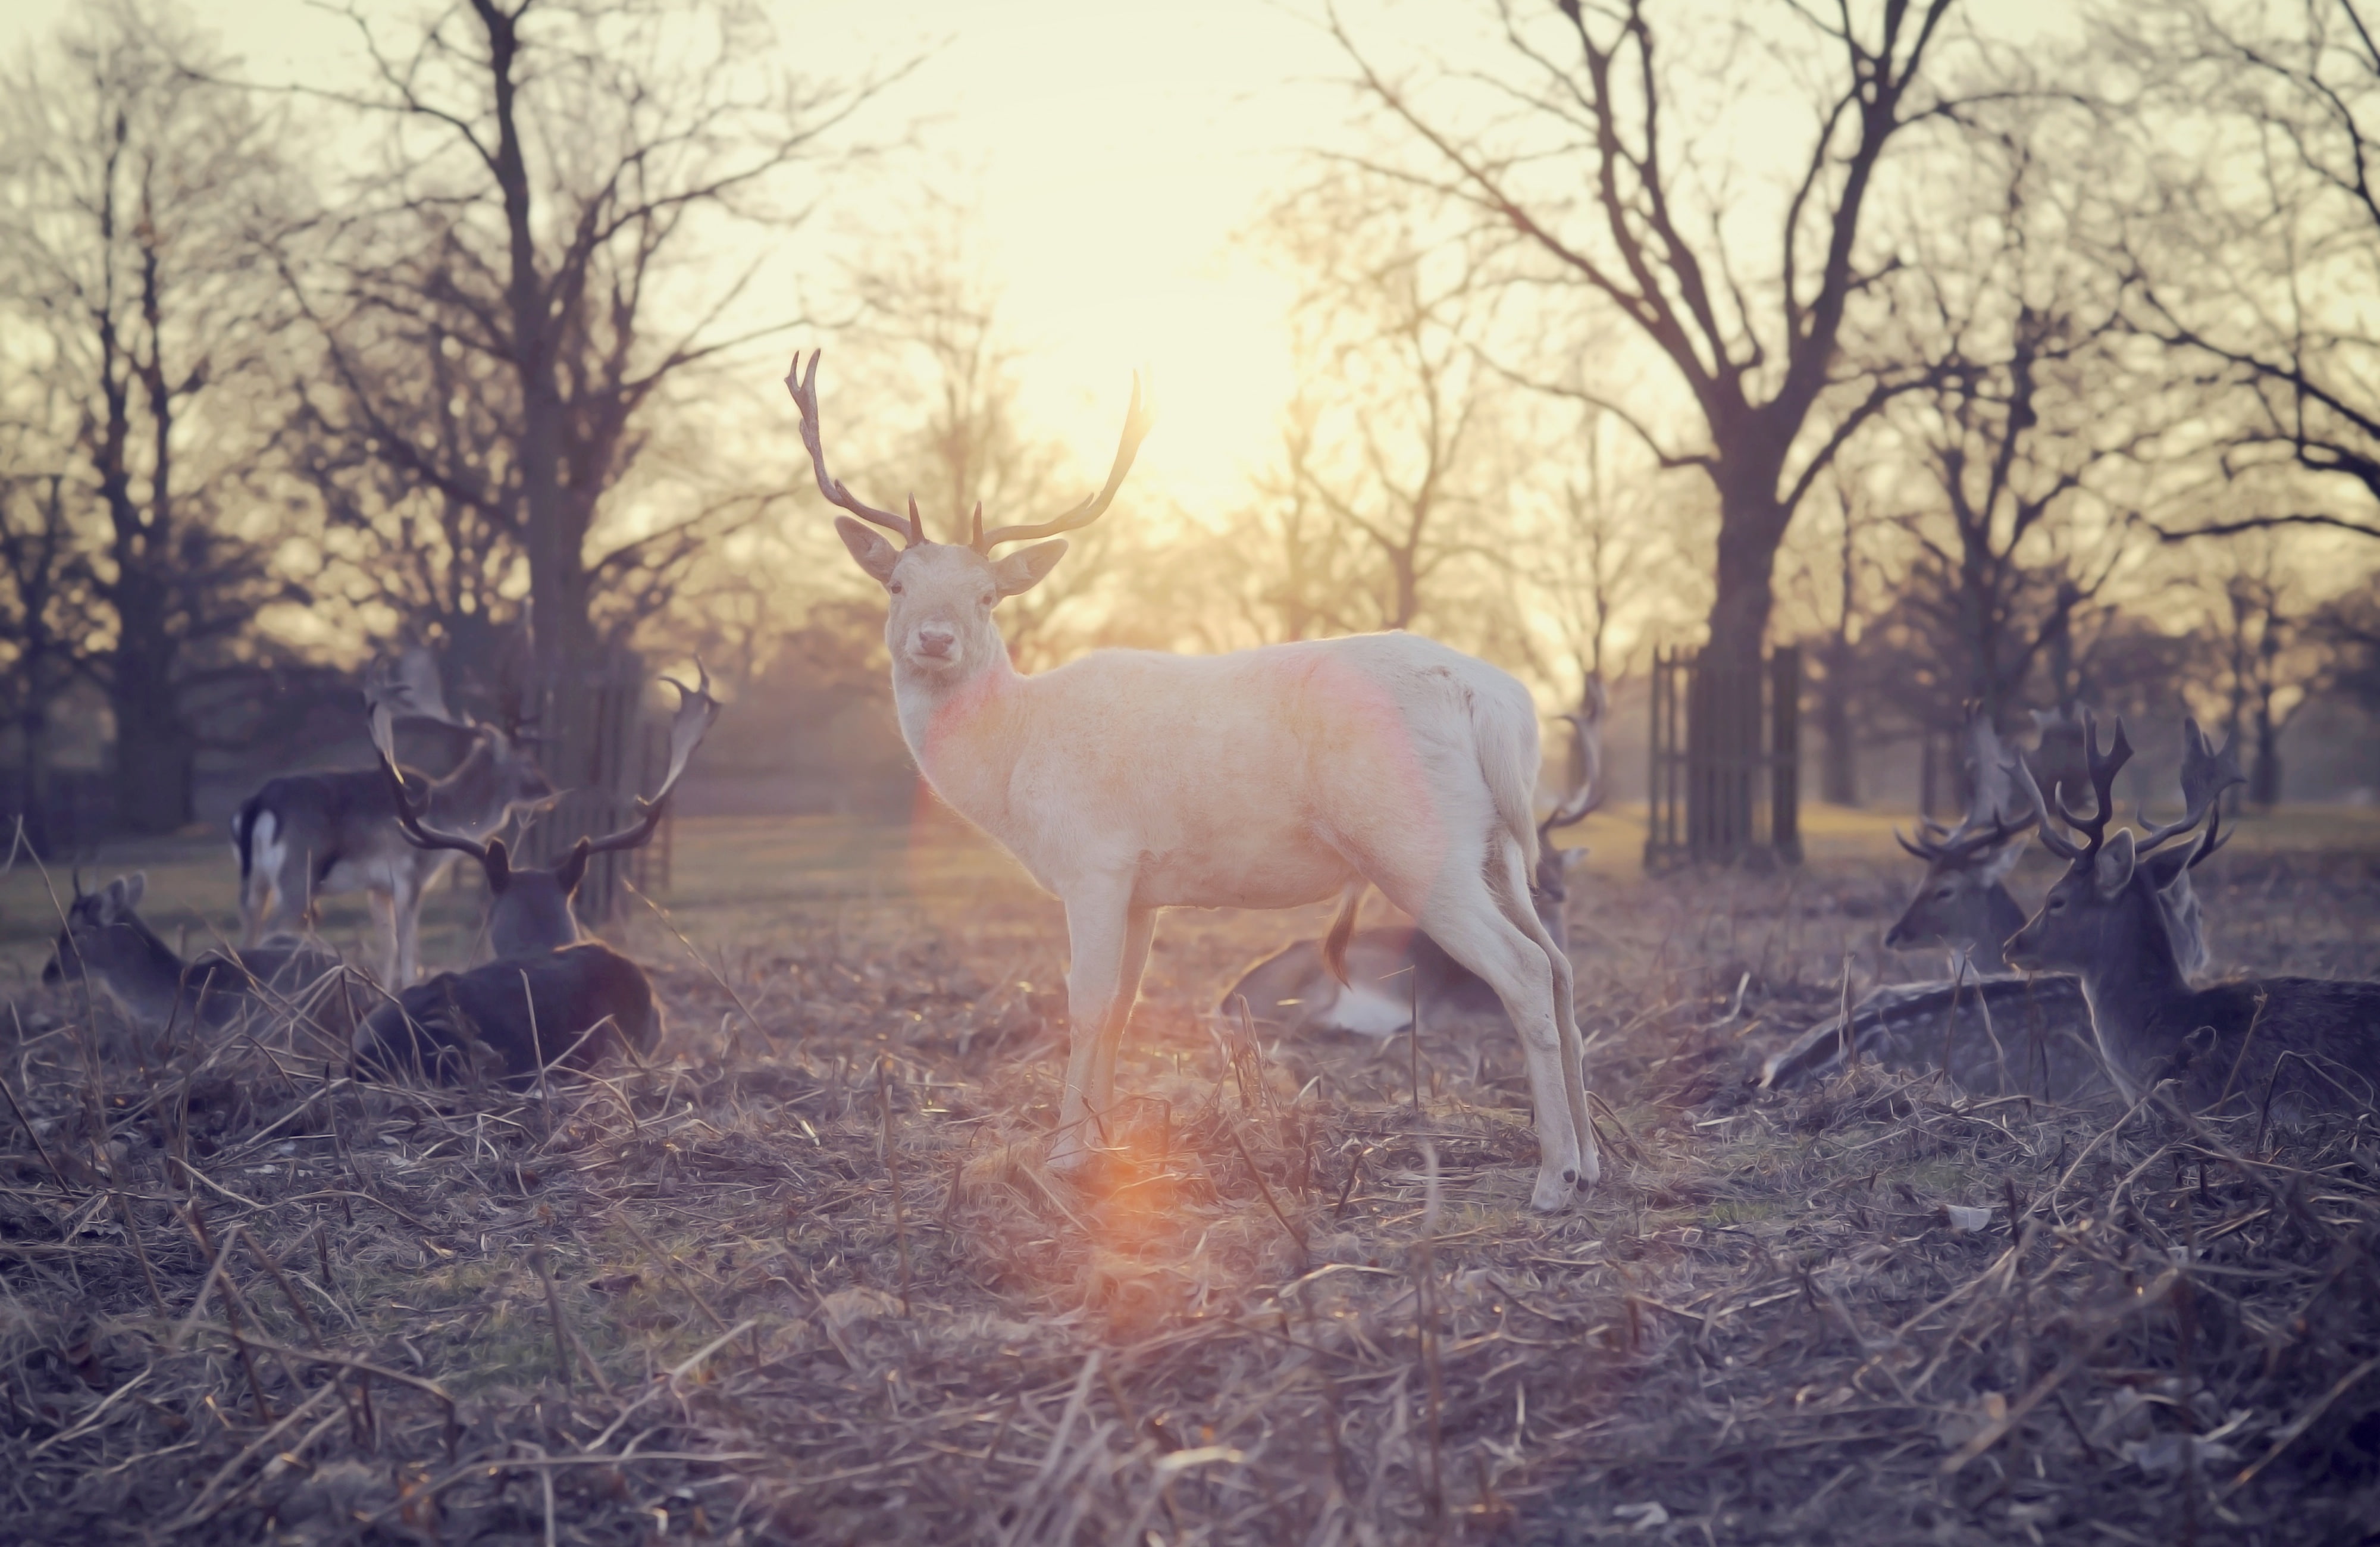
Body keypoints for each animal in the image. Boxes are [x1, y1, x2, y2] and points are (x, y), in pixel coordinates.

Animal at [232, 650, 554, 988]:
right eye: (527, 761)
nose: (551, 792)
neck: (448, 813)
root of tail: (257, 804)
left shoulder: (378, 887)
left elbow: (388, 948)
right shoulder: (410, 877)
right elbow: (410, 951)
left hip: (253, 883)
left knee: (247, 933)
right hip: (297, 877)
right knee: (272, 931)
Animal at [1221, 677, 1604, 1043]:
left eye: (1559, 860)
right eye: (1529, 869)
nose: (1556, 892)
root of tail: (1224, 1002)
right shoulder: (1455, 1012)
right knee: (1297, 1025)